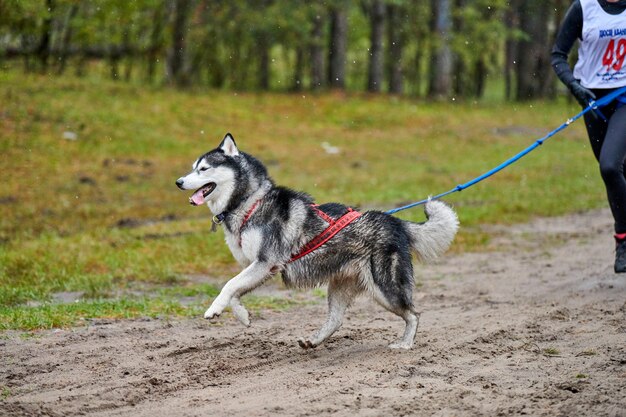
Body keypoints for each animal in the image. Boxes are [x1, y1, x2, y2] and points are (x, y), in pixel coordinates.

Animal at [176, 133, 458, 348]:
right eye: (192, 167)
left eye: (204, 169)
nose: (178, 181)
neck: (250, 203)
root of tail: (395, 221)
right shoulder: (260, 267)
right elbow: (235, 290)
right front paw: (242, 316)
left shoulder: (265, 262)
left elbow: (229, 285)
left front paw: (214, 309)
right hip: (340, 287)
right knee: (337, 320)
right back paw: (314, 341)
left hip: (385, 289)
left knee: (414, 314)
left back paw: (405, 344)